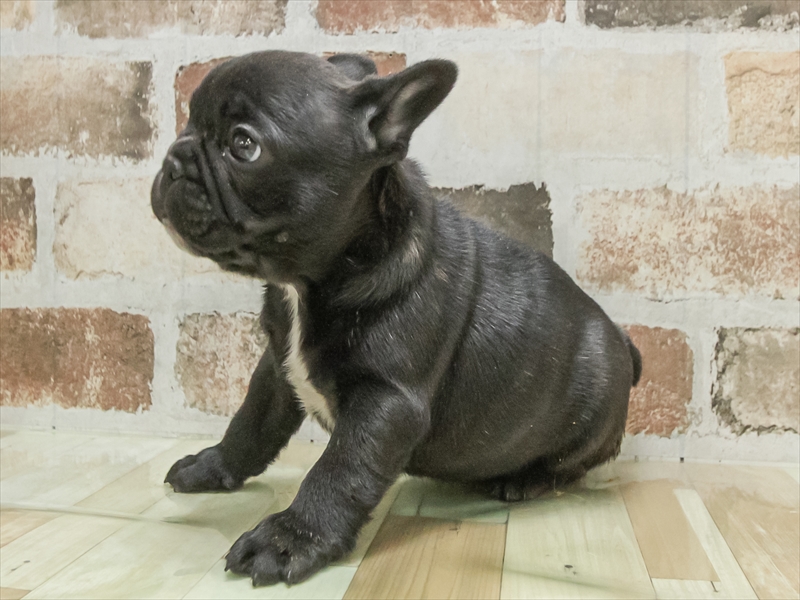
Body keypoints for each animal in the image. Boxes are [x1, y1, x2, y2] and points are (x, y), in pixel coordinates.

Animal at [151, 51, 641, 587]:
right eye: (188, 120)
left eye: (244, 145)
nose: (174, 159)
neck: (305, 284)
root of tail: (622, 342)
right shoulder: (279, 367)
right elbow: (250, 422)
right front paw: (212, 466)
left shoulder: (386, 401)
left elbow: (340, 468)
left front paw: (289, 539)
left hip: (590, 414)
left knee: (566, 466)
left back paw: (522, 479)